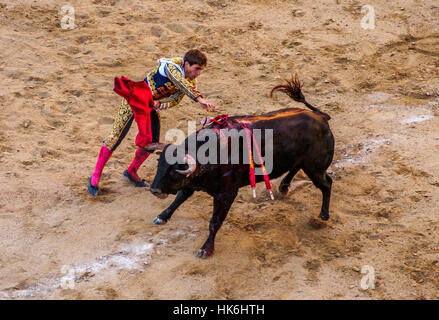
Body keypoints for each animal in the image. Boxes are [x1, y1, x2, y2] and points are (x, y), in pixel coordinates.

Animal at [150, 75, 336, 260]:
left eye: (174, 170)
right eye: (160, 165)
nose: (154, 190)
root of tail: (322, 118)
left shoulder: (226, 194)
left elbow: (214, 222)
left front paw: (206, 249)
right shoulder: (192, 182)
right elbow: (179, 197)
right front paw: (162, 217)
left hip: (315, 167)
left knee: (326, 184)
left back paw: (323, 216)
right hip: (304, 162)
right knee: (296, 167)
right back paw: (283, 187)